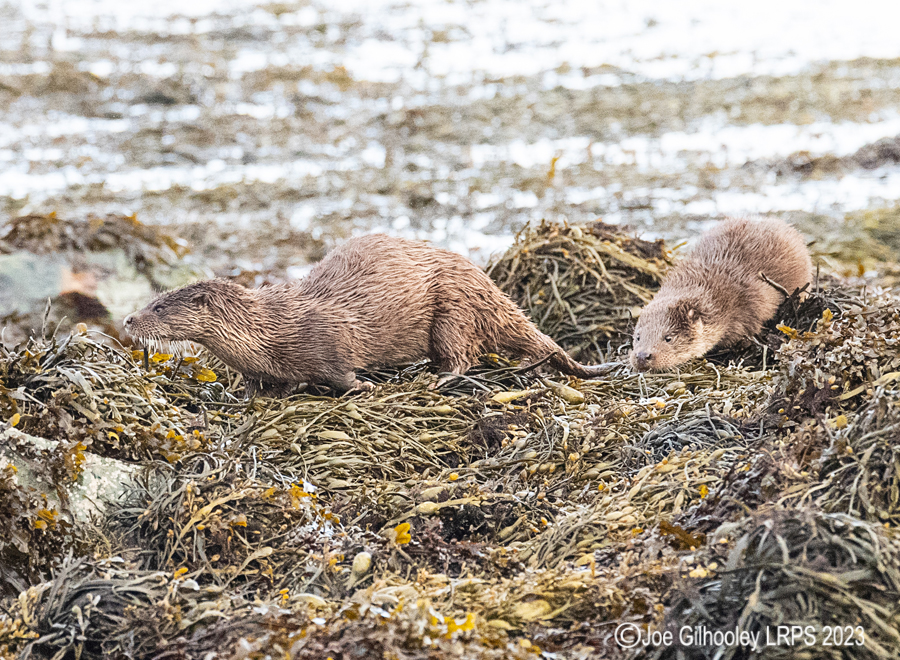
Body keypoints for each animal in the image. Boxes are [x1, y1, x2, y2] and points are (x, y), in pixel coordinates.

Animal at [124, 234, 617, 396]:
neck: (270, 332)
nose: (129, 320)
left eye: (159, 307)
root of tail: (486, 283)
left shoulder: (329, 339)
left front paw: (363, 385)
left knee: (462, 355)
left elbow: (341, 374)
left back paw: (434, 378)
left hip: (453, 307)